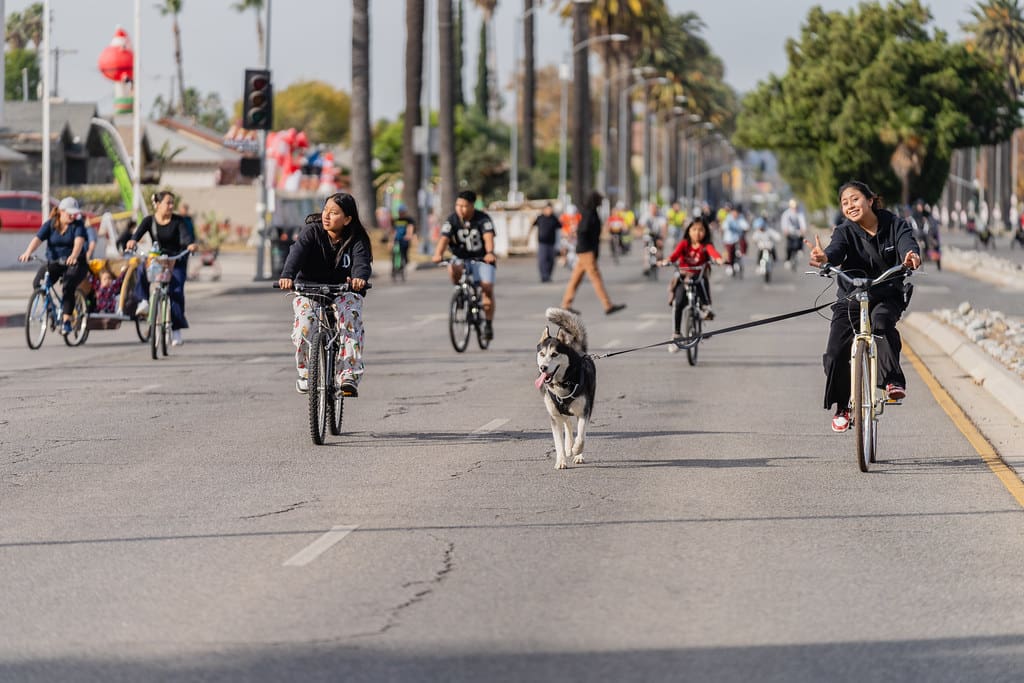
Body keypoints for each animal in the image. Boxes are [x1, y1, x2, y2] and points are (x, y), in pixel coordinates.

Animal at [536, 309, 598, 471]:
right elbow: (558, 442)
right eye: (542, 354)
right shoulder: (554, 416)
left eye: (554, 354)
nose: (543, 368)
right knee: (567, 423)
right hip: (561, 411)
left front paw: (577, 450)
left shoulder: (584, 411)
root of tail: (577, 348)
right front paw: (561, 460)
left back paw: (576, 453)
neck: (562, 383)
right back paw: (569, 447)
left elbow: (581, 436)